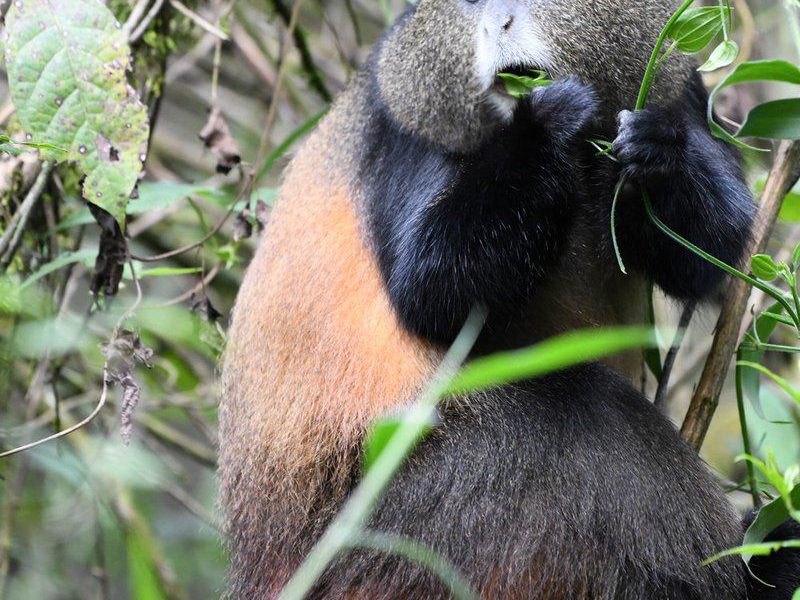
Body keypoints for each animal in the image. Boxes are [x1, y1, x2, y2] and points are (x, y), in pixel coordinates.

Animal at [220, 0, 800, 597]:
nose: (498, 22)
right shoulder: (411, 133)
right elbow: (430, 291)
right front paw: (543, 129)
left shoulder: (680, 90)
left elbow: (717, 252)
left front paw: (660, 153)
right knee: (590, 419)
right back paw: (752, 575)